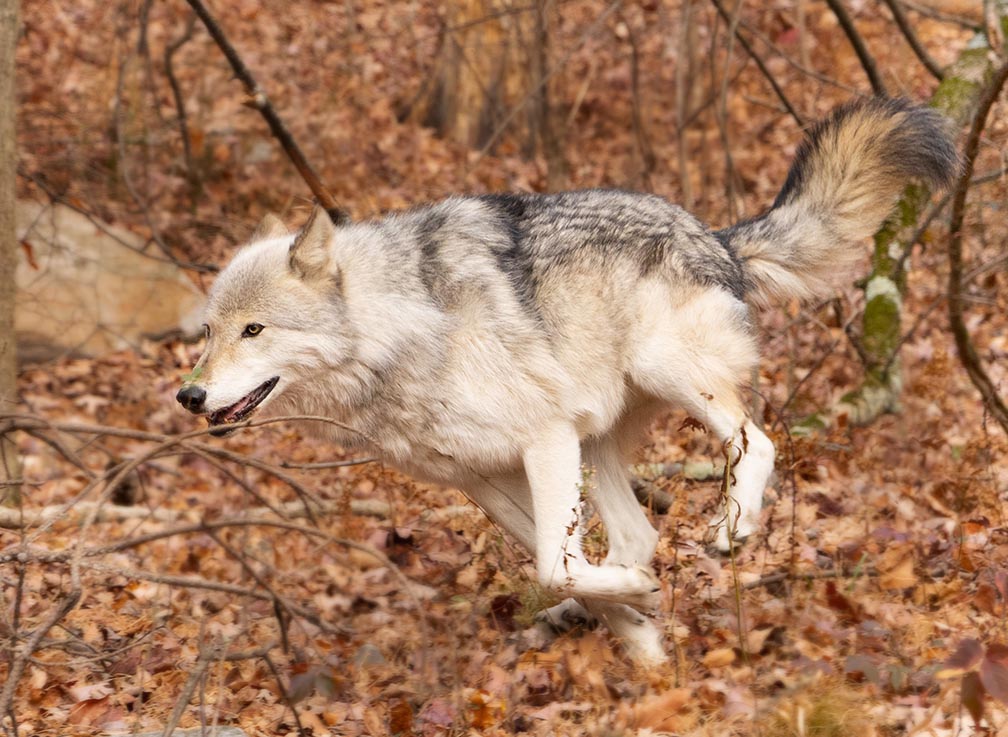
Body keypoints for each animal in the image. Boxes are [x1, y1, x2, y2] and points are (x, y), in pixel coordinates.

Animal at [177, 95, 955, 665]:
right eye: (209, 332)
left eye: (255, 330)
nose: (189, 395)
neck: (402, 326)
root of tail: (718, 235)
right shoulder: (486, 478)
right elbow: (564, 560)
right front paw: (639, 628)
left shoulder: (543, 439)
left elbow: (556, 562)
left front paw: (633, 605)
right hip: (598, 440)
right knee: (639, 533)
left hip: (661, 376)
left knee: (755, 444)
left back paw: (730, 528)